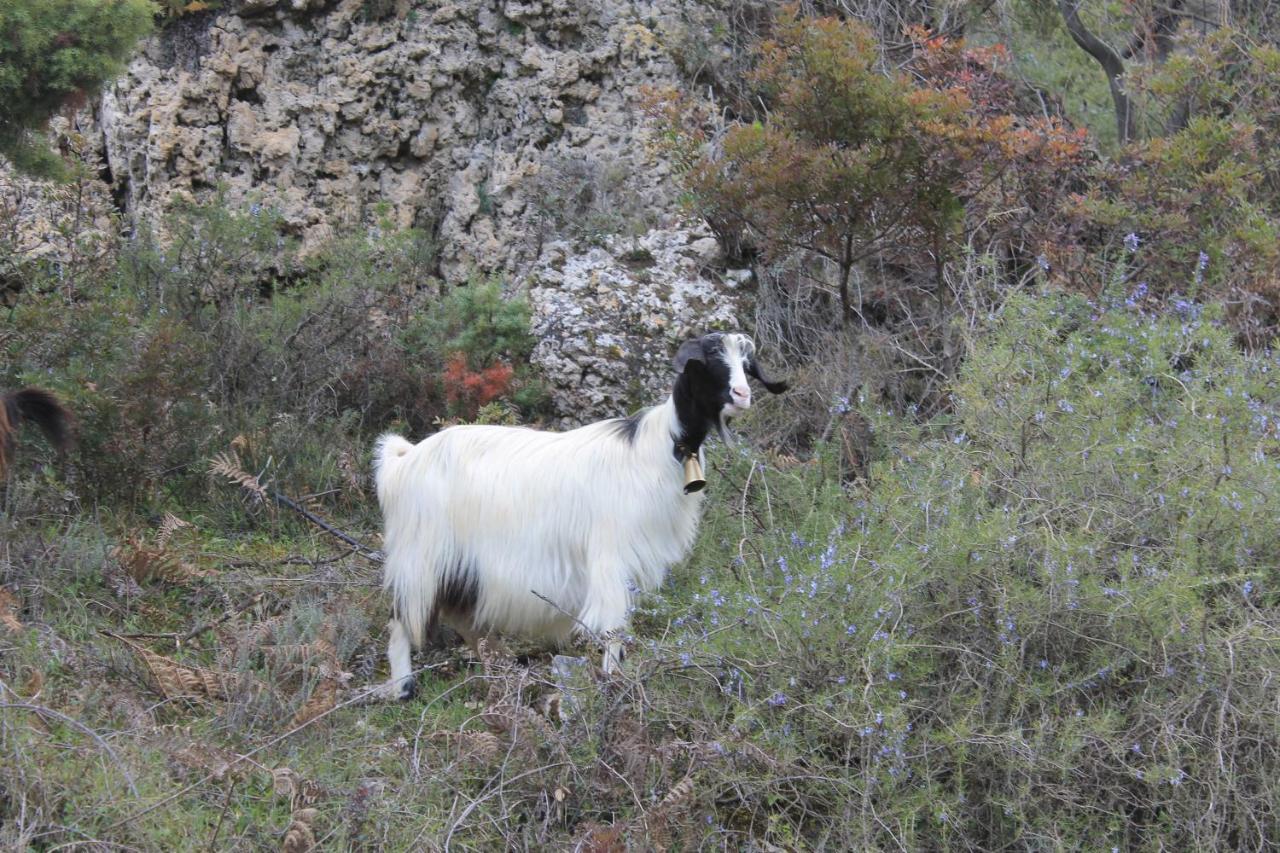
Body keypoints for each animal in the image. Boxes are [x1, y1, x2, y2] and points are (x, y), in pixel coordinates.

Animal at [373, 327, 783, 696]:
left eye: (746, 364)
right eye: (709, 360)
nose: (742, 395)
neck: (658, 447)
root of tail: (402, 461)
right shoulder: (611, 553)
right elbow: (613, 623)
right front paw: (613, 682)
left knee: (462, 617)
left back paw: (501, 669)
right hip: (420, 554)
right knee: (400, 619)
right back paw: (403, 688)